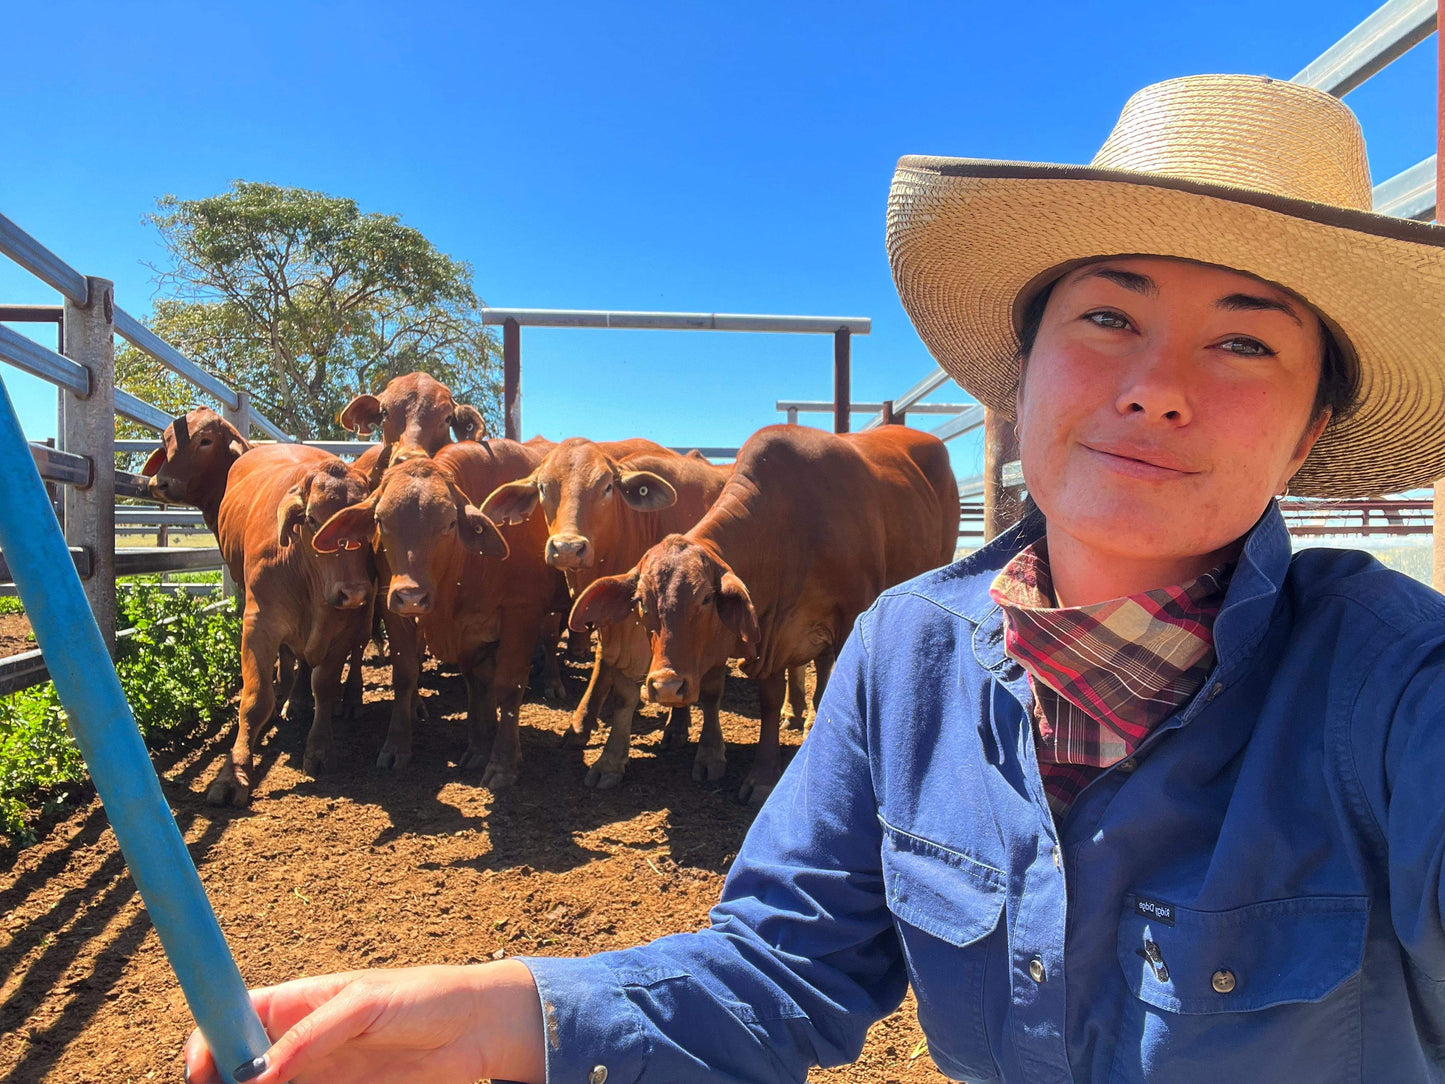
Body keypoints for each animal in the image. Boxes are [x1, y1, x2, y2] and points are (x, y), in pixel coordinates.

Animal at [210, 445, 378, 809]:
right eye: (313, 519)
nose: (354, 591)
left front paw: (319, 749)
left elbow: (324, 686)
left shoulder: (342, 630)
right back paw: (292, 699)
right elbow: (255, 700)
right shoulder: (259, 626)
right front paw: (234, 774)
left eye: (367, 521)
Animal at [313, 442, 566, 792]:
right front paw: (402, 746)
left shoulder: (521, 614)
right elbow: (412, 676)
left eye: (449, 524)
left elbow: (508, 686)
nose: (411, 595)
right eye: (380, 520)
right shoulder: (401, 614)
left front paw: (502, 762)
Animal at [485, 442, 734, 792]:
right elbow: (613, 675)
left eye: (606, 487)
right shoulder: (616, 621)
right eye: (543, 488)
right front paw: (589, 733)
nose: (567, 548)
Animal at [572, 427, 959, 803]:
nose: (667, 685)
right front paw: (762, 776)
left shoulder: (851, 615)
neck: (792, 526)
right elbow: (770, 700)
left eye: (706, 599)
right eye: (641, 601)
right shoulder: (770, 634)